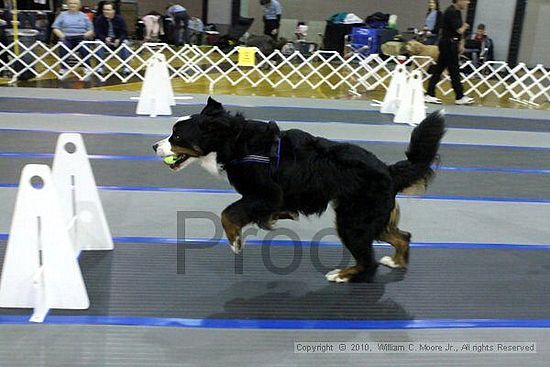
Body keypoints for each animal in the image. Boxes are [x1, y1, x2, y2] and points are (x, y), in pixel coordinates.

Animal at [153, 98, 446, 284]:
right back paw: (395, 262)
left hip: (353, 221)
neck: (236, 143)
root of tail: (387, 170)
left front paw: (235, 242)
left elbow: (228, 213)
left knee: (368, 260)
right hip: (370, 218)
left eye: (176, 137)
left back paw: (342, 275)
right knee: (403, 236)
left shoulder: (266, 194)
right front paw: (277, 217)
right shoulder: (269, 199)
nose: (154, 146)